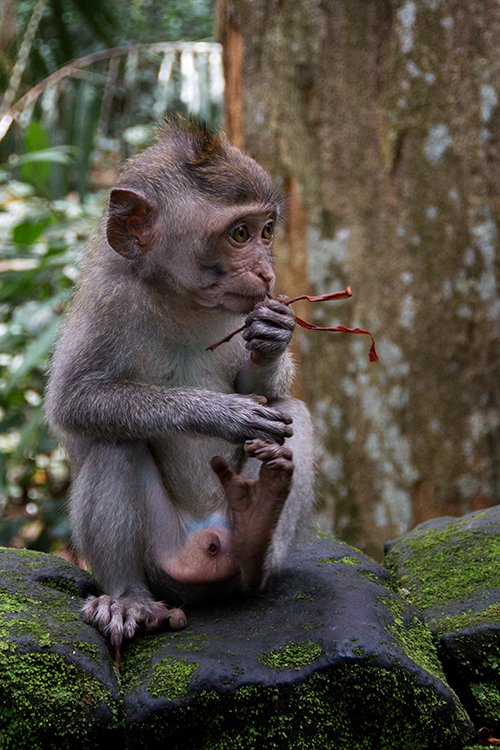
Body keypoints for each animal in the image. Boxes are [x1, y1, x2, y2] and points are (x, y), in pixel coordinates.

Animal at [46, 116, 312, 652]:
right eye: (239, 233)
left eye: (267, 230)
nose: (266, 272)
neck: (181, 298)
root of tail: (207, 541)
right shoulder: (109, 301)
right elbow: (75, 399)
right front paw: (222, 414)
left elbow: (268, 389)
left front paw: (274, 336)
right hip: (165, 561)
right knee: (114, 442)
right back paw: (127, 599)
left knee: (292, 411)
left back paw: (256, 539)